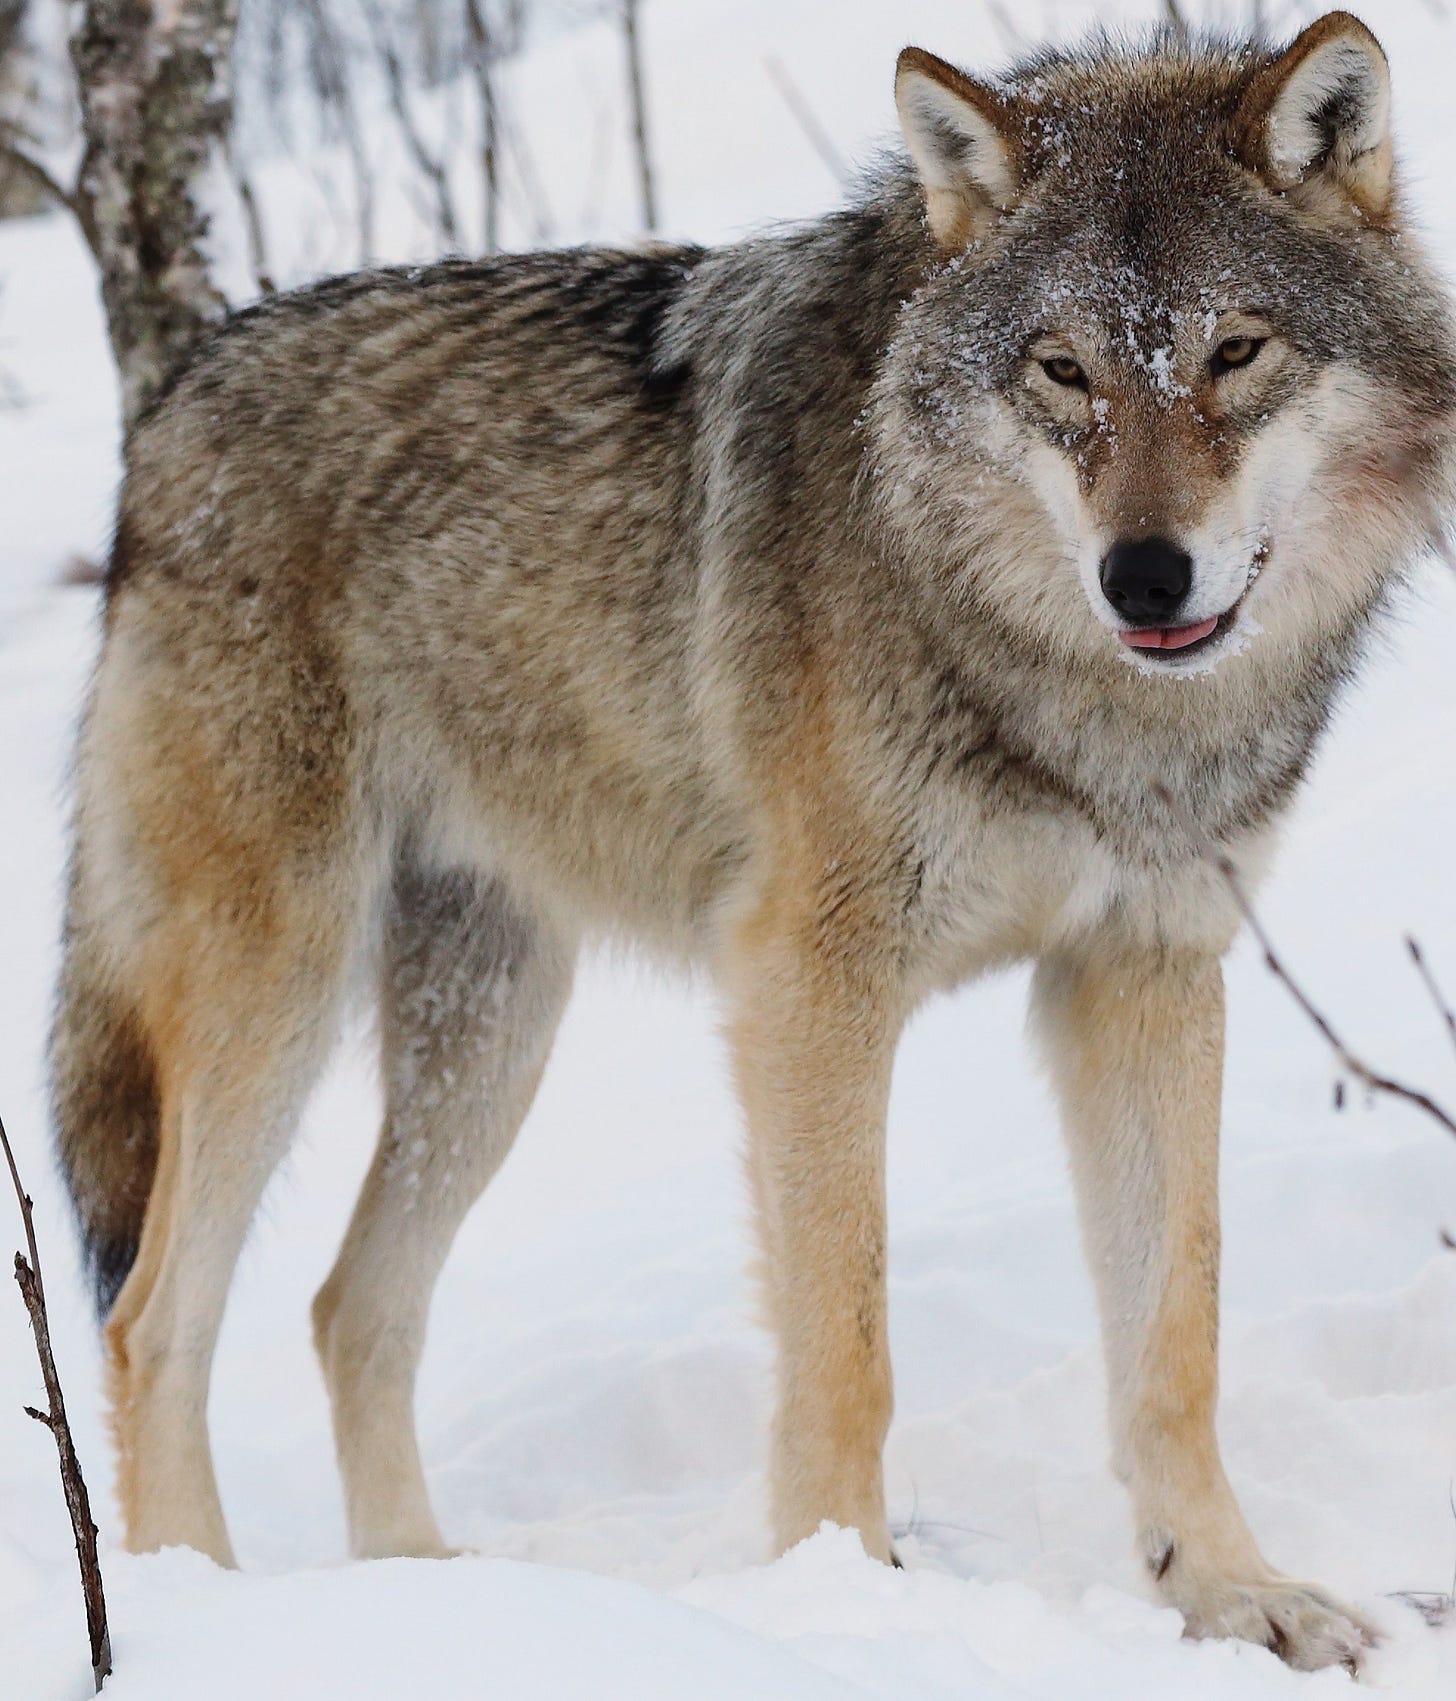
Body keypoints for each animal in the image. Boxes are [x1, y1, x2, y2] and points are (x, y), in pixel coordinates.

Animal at [50, 8, 1453, 1671]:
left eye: (1237, 351)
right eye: (1063, 369)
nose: (1146, 574)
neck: (1069, 695)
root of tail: (170, 404)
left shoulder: (1148, 969)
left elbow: (1179, 1331)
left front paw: (1235, 1595)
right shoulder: (811, 979)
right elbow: (845, 1331)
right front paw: (850, 1599)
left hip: (490, 1033)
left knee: (351, 1307)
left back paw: (432, 1595)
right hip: (278, 990)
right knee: (151, 1319)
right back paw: (204, 1612)